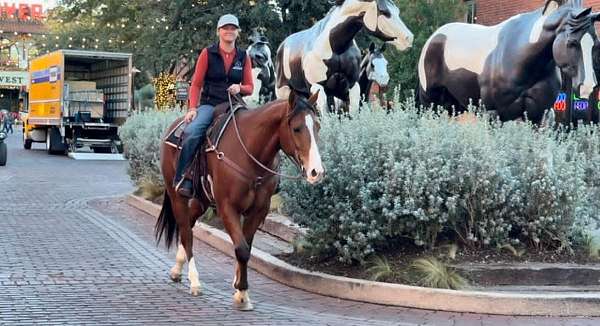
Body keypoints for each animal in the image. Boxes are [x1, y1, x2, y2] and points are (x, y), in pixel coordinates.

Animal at [155, 91, 324, 310]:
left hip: (202, 200)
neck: (249, 153)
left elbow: (246, 247)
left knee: (189, 225)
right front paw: (242, 293)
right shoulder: (227, 207)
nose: (316, 172)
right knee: (185, 231)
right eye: (296, 128)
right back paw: (194, 281)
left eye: (317, 126)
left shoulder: (259, 210)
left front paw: (239, 289)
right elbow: (242, 249)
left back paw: (177, 269)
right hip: (177, 195)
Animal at [276, 0, 412, 114]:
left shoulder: (352, 87)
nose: (409, 38)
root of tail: (282, 46)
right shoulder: (317, 87)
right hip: (284, 92)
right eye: (384, 12)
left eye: (397, 11)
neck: (336, 47)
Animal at [418, 0, 600, 125]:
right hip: (429, 102)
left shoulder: (540, 115)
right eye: (572, 43)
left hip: (453, 106)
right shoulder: (494, 114)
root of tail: (434, 37)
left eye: (596, 44)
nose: (587, 86)